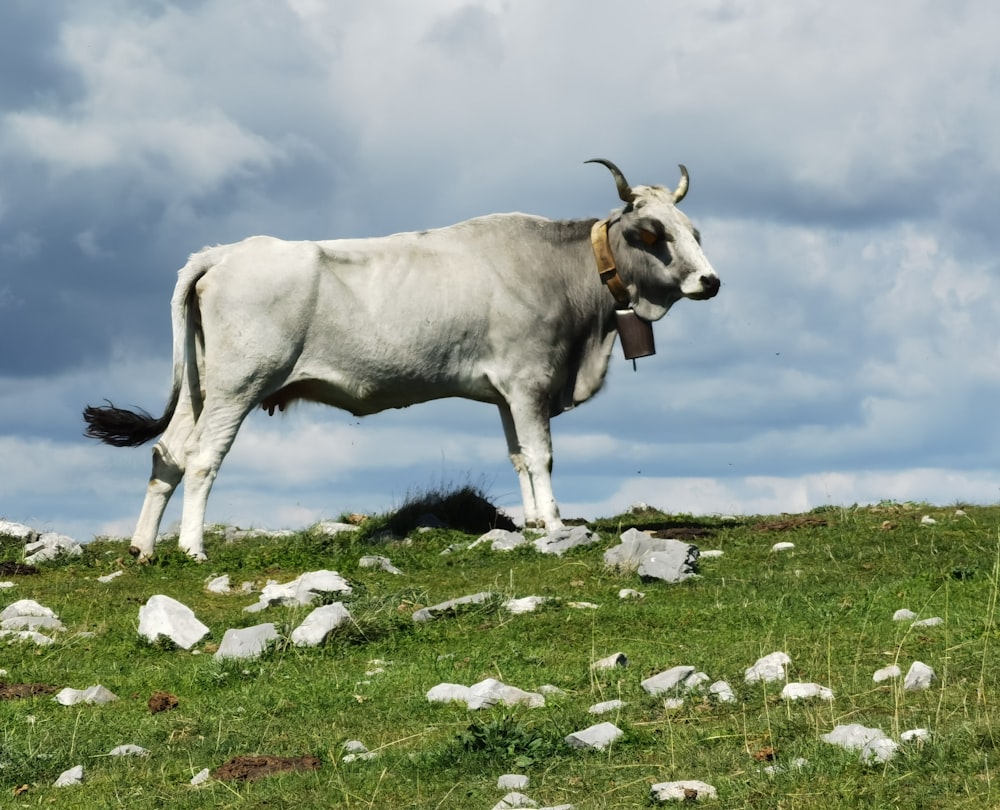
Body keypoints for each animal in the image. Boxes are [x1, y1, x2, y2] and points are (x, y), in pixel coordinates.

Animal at [82, 161, 716, 560]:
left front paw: (535, 522)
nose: (710, 281)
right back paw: (192, 548)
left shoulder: (509, 392)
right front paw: (558, 526)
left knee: (167, 452)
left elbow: (517, 457)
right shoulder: (529, 380)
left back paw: (143, 548)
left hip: (201, 387)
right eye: (653, 233)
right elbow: (542, 456)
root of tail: (224, 252)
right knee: (201, 458)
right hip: (239, 385)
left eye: (694, 230)